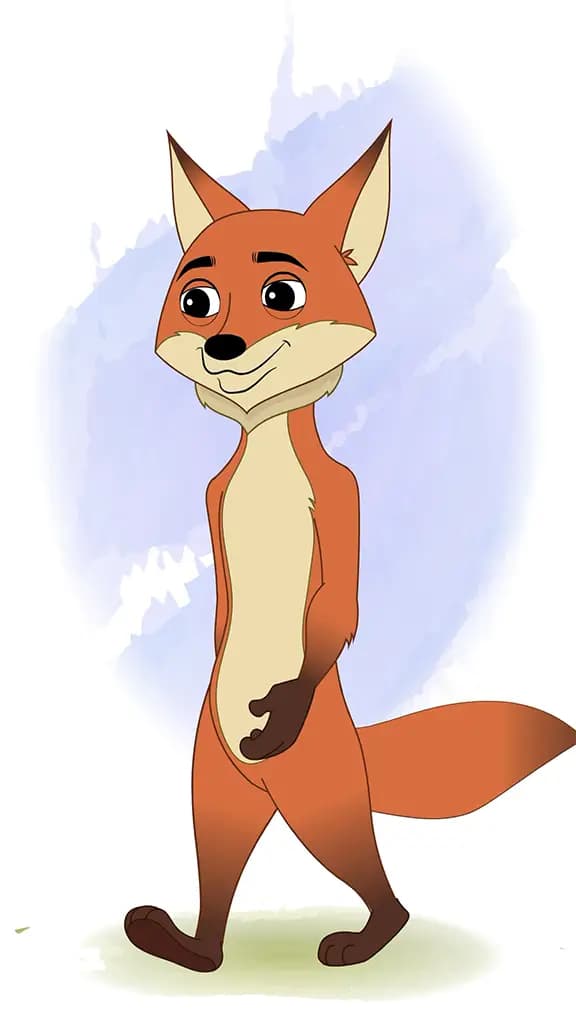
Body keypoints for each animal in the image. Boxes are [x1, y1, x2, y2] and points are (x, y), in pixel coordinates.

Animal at [124, 122, 576, 972]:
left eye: (282, 294)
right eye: (196, 302)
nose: (223, 345)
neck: (266, 449)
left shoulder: (341, 497)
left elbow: (342, 608)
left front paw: (280, 706)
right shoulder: (213, 499)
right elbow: (221, 609)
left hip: (311, 779)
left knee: (365, 867)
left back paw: (367, 937)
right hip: (215, 777)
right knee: (218, 860)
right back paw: (191, 949)